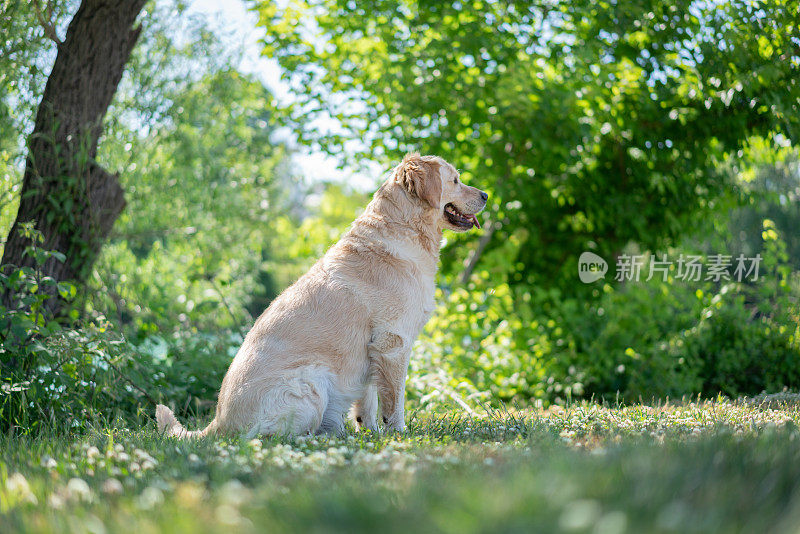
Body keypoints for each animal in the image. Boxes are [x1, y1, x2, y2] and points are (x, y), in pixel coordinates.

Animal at [153, 153, 484, 438]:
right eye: (455, 180)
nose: (485, 196)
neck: (404, 228)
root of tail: (218, 425)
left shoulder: (371, 351)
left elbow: (368, 404)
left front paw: (372, 434)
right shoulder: (393, 343)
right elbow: (394, 401)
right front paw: (398, 434)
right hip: (311, 383)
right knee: (268, 437)